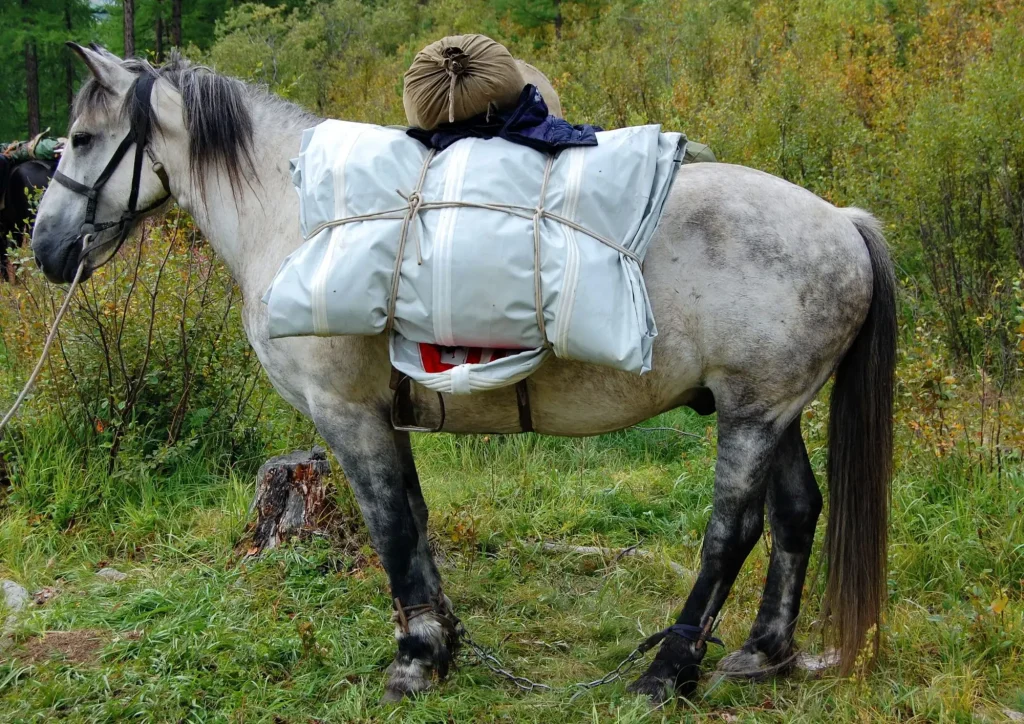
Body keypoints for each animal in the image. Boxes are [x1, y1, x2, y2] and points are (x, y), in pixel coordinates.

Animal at [30, 45, 896, 704]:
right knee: (796, 513)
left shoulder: (347, 415)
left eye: (81, 138)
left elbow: (390, 528)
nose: (46, 251)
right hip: (770, 410)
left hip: (751, 415)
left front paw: (413, 660)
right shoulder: (387, 416)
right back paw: (763, 651)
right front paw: (440, 641)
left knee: (732, 532)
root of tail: (840, 221)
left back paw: (667, 672)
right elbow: (414, 521)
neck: (296, 214)